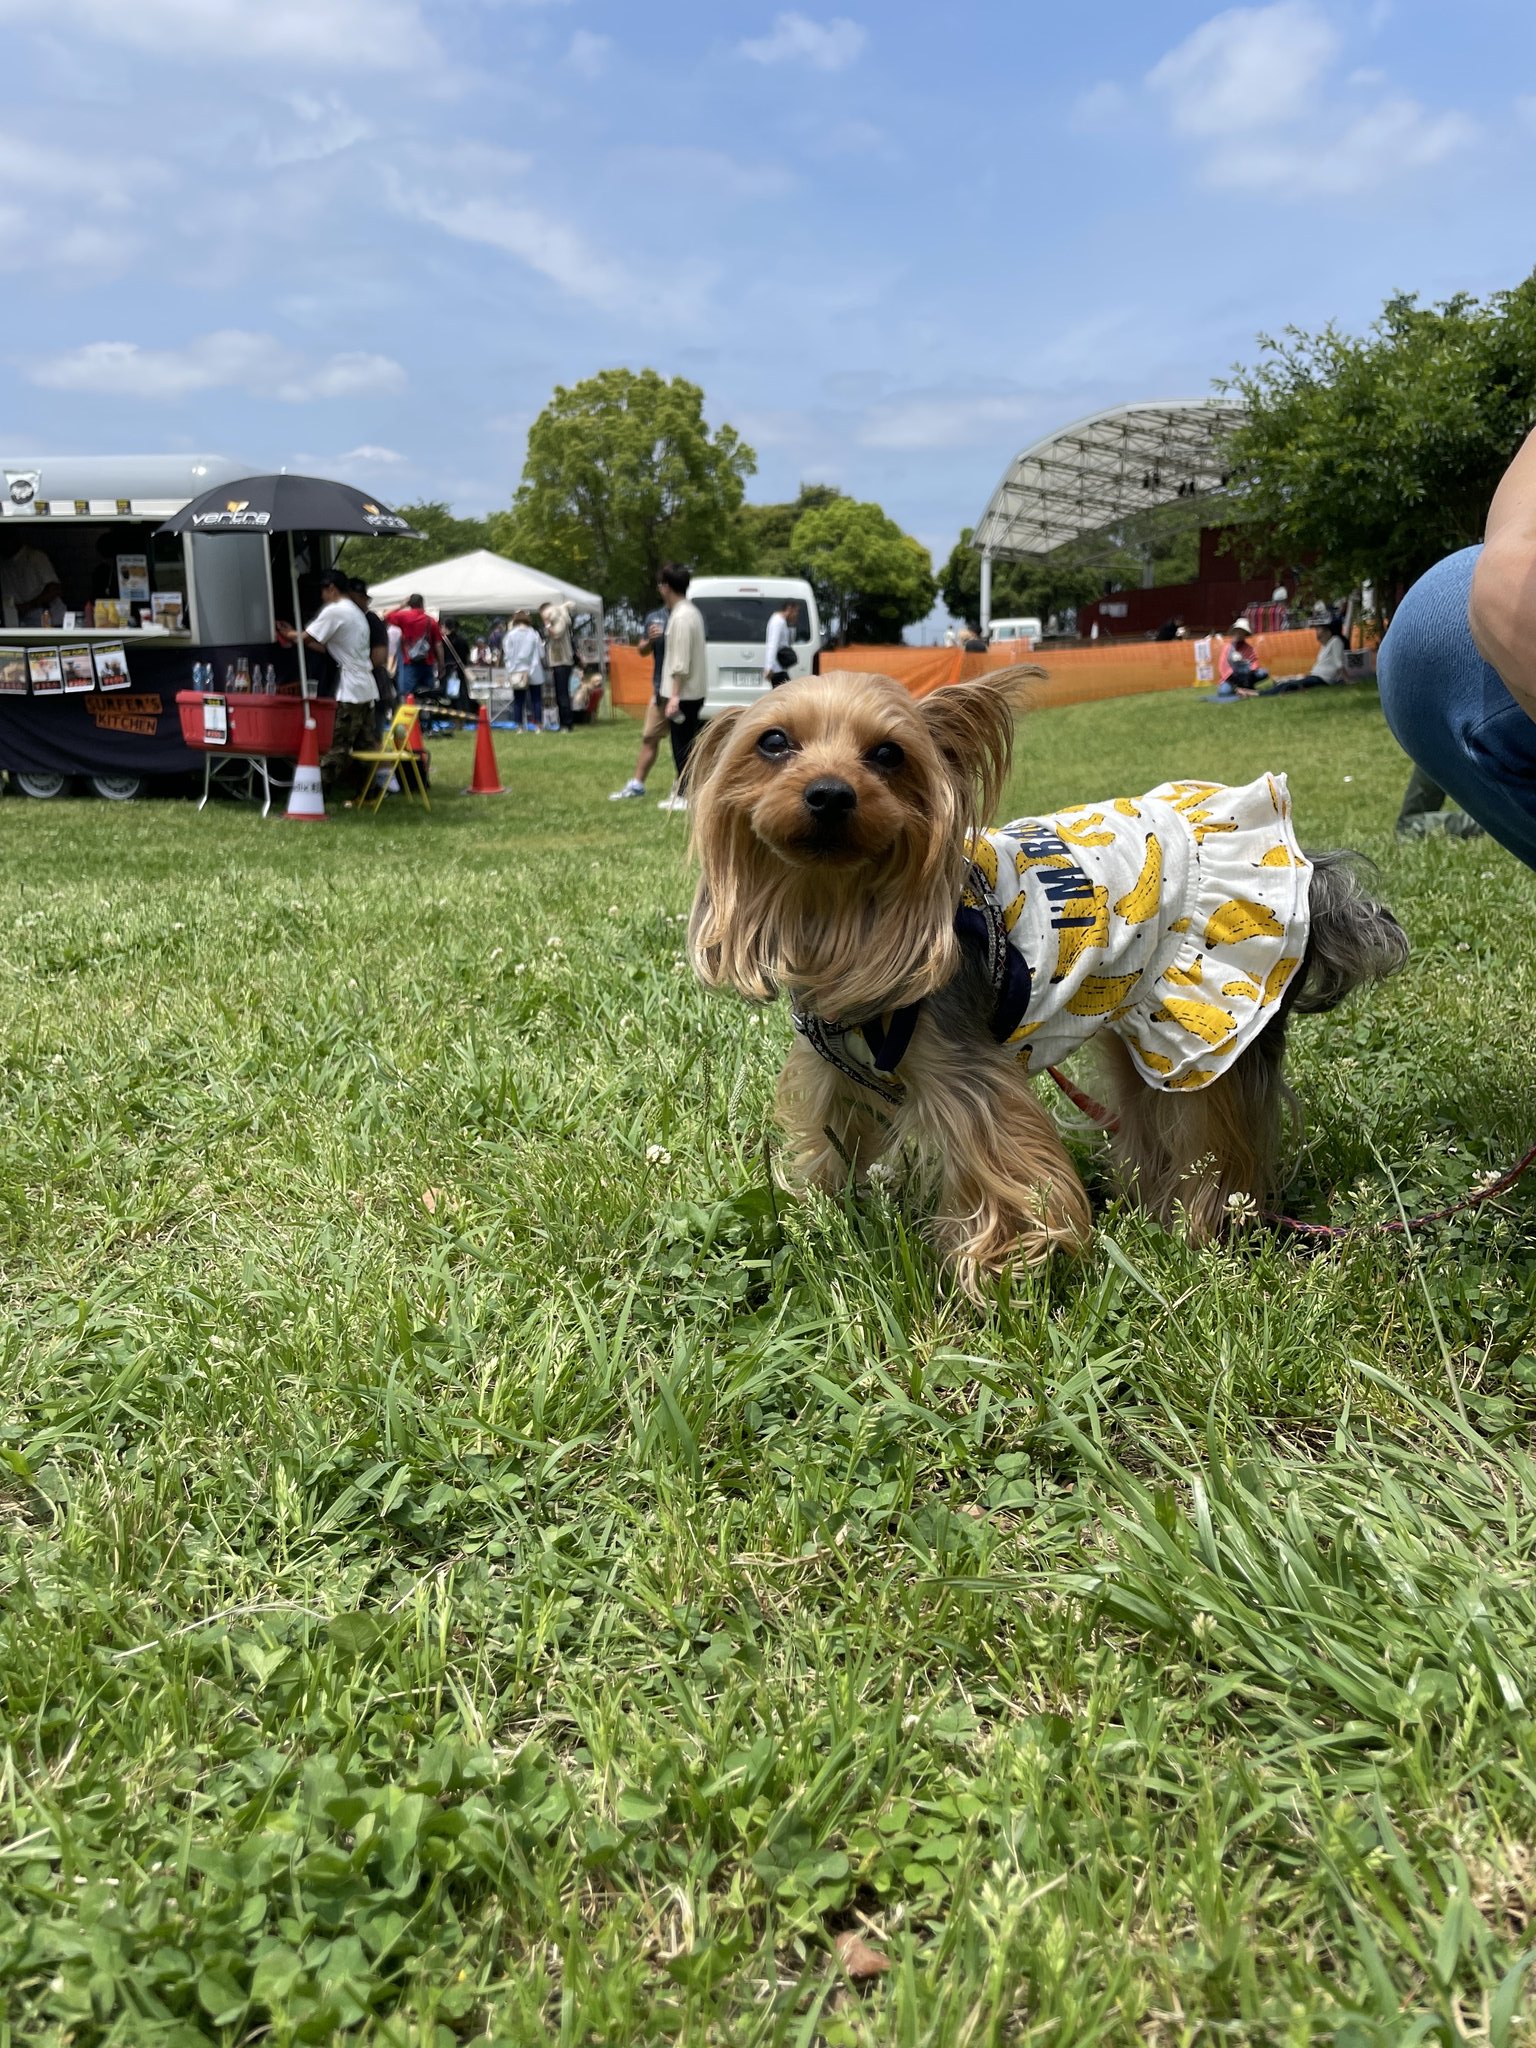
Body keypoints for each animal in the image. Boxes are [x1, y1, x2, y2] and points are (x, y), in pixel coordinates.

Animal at [692, 663, 1417, 1286]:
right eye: (773, 741)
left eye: (889, 755)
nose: (829, 793)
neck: (842, 908)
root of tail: (1311, 870)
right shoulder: (837, 1066)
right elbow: (830, 1139)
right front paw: (819, 1220)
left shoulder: (962, 1066)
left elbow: (1007, 1165)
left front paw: (1000, 1274)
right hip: (1143, 1020)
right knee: (1149, 1112)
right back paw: (1149, 1209)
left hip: (1214, 1027)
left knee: (1213, 1136)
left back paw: (1195, 1232)